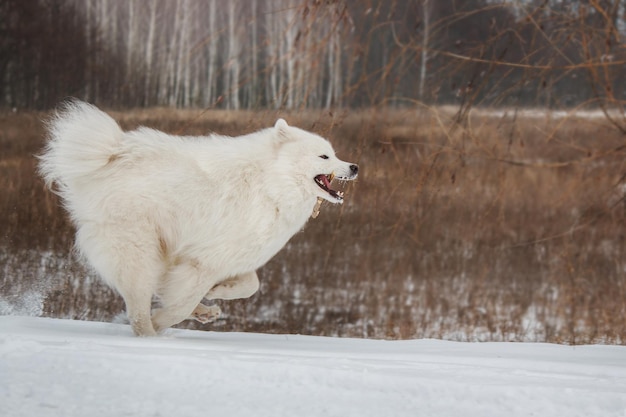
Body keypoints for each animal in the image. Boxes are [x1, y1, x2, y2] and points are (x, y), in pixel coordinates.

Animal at [39, 100, 358, 334]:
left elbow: (249, 285)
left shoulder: (231, 255)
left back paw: (203, 312)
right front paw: (164, 320)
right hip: (139, 249)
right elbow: (183, 302)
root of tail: (107, 161)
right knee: (139, 307)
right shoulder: (203, 261)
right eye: (324, 157)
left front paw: (218, 291)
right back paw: (150, 333)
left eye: (334, 154)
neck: (271, 184)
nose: (354, 167)